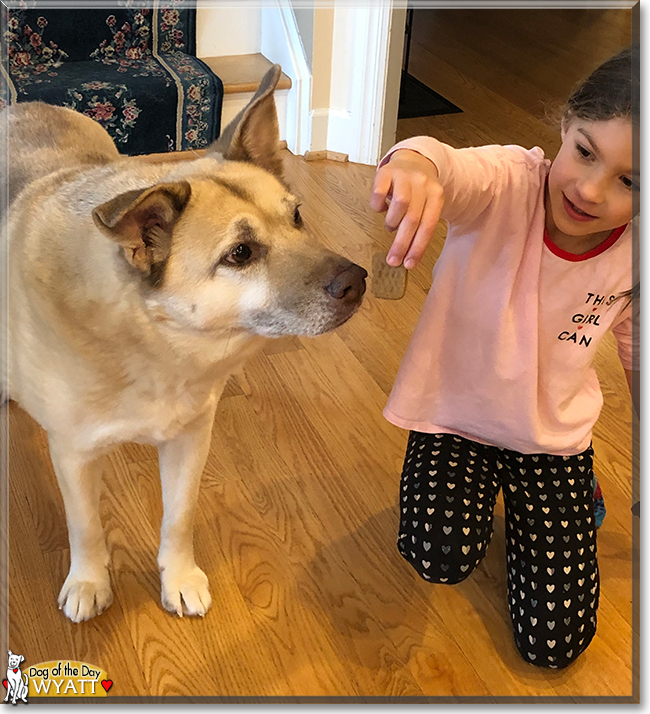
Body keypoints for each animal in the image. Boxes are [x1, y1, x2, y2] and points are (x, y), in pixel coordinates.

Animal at [0, 68, 368, 624]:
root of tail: (24, 106)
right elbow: (85, 527)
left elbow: (179, 516)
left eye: (298, 217)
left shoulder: (191, 437)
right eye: (240, 254)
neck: (155, 343)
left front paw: (179, 577)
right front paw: (88, 581)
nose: (359, 281)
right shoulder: (73, 454)